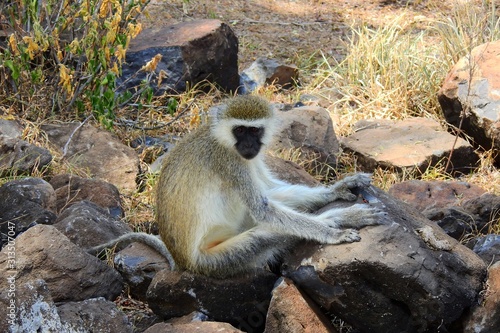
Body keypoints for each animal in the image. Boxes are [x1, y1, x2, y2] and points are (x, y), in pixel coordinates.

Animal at [154, 94, 380, 278]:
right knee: (264, 236)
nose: (248, 145)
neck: (222, 139)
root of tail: (186, 263)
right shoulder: (229, 162)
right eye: (240, 130)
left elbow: (269, 191)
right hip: (214, 261)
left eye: (254, 130)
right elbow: (263, 209)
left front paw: (336, 189)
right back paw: (339, 219)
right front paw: (333, 233)